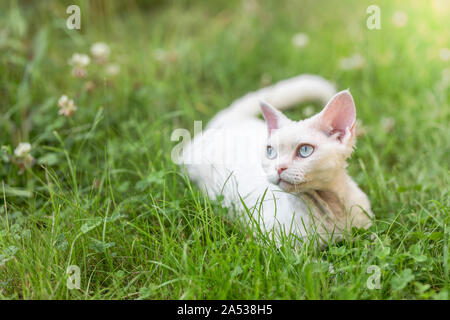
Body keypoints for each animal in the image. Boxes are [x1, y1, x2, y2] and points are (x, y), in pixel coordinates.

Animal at [180, 75, 372, 245]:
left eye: (305, 150)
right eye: (270, 152)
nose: (279, 168)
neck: (329, 208)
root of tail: (232, 120)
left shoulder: (367, 229)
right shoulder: (274, 243)